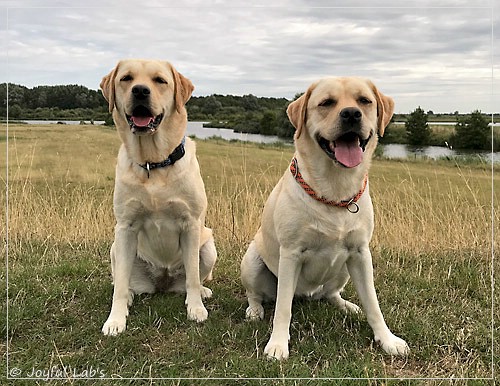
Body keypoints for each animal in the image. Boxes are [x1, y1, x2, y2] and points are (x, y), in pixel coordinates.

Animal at [100, 58, 217, 334]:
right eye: (126, 78)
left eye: (160, 81)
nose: (140, 91)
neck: (153, 163)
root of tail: (163, 282)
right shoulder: (126, 226)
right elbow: (120, 285)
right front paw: (115, 319)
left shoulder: (191, 224)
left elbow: (193, 277)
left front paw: (196, 309)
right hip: (116, 247)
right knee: (123, 281)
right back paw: (129, 296)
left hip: (209, 246)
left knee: (194, 278)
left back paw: (202, 292)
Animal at [242, 77, 410, 360]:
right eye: (326, 103)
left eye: (364, 101)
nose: (351, 114)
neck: (335, 191)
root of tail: (307, 295)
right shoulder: (291, 253)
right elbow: (283, 307)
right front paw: (278, 344)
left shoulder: (361, 253)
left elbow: (373, 304)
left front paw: (387, 339)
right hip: (252, 260)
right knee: (257, 294)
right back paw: (255, 310)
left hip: (344, 269)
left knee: (331, 294)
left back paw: (346, 305)